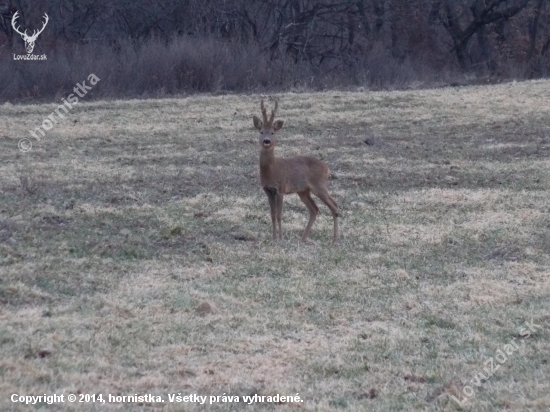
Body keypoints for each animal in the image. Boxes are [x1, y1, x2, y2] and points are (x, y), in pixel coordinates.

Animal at [254, 98, 340, 243]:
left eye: (272, 132)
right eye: (261, 132)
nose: (266, 141)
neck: (271, 170)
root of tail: (327, 168)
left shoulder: (281, 188)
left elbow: (279, 214)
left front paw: (281, 238)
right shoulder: (268, 190)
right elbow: (272, 214)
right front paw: (274, 238)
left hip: (319, 185)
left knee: (334, 205)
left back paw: (334, 239)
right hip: (303, 191)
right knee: (314, 209)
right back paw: (303, 238)